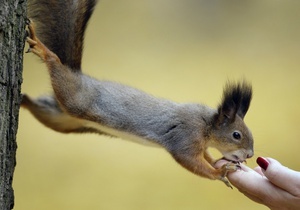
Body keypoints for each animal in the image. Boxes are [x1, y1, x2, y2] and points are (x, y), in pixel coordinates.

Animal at [23, 0, 253, 188]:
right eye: (236, 135)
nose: (250, 154)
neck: (207, 125)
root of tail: (76, 74)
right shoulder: (185, 136)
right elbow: (189, 160)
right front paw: (218, 172)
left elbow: (205, 155)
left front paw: (215, 161)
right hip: (73, 97)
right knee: (55, 66)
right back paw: (43, 50)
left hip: (64, 121)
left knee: (40, 109)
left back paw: (23, 100)